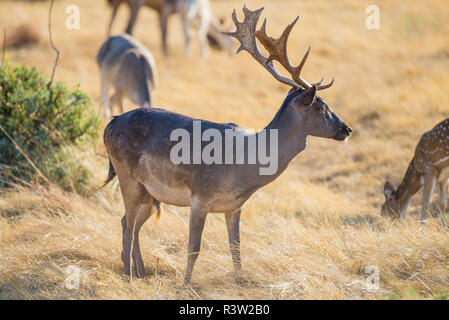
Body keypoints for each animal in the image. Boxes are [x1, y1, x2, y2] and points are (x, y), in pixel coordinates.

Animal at [103, 6, 352, 284]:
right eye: (321, 107)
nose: (346, 128)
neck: (244, 165)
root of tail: (110, 125)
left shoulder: (235, 206)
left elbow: (236, 247)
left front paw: (240, 281)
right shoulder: (200, 196)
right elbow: (194, 247)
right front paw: (185, 284)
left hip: (150, 192)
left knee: (129, 223)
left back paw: (141, 272)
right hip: (127, 176)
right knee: (127, 224)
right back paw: (128, 275)